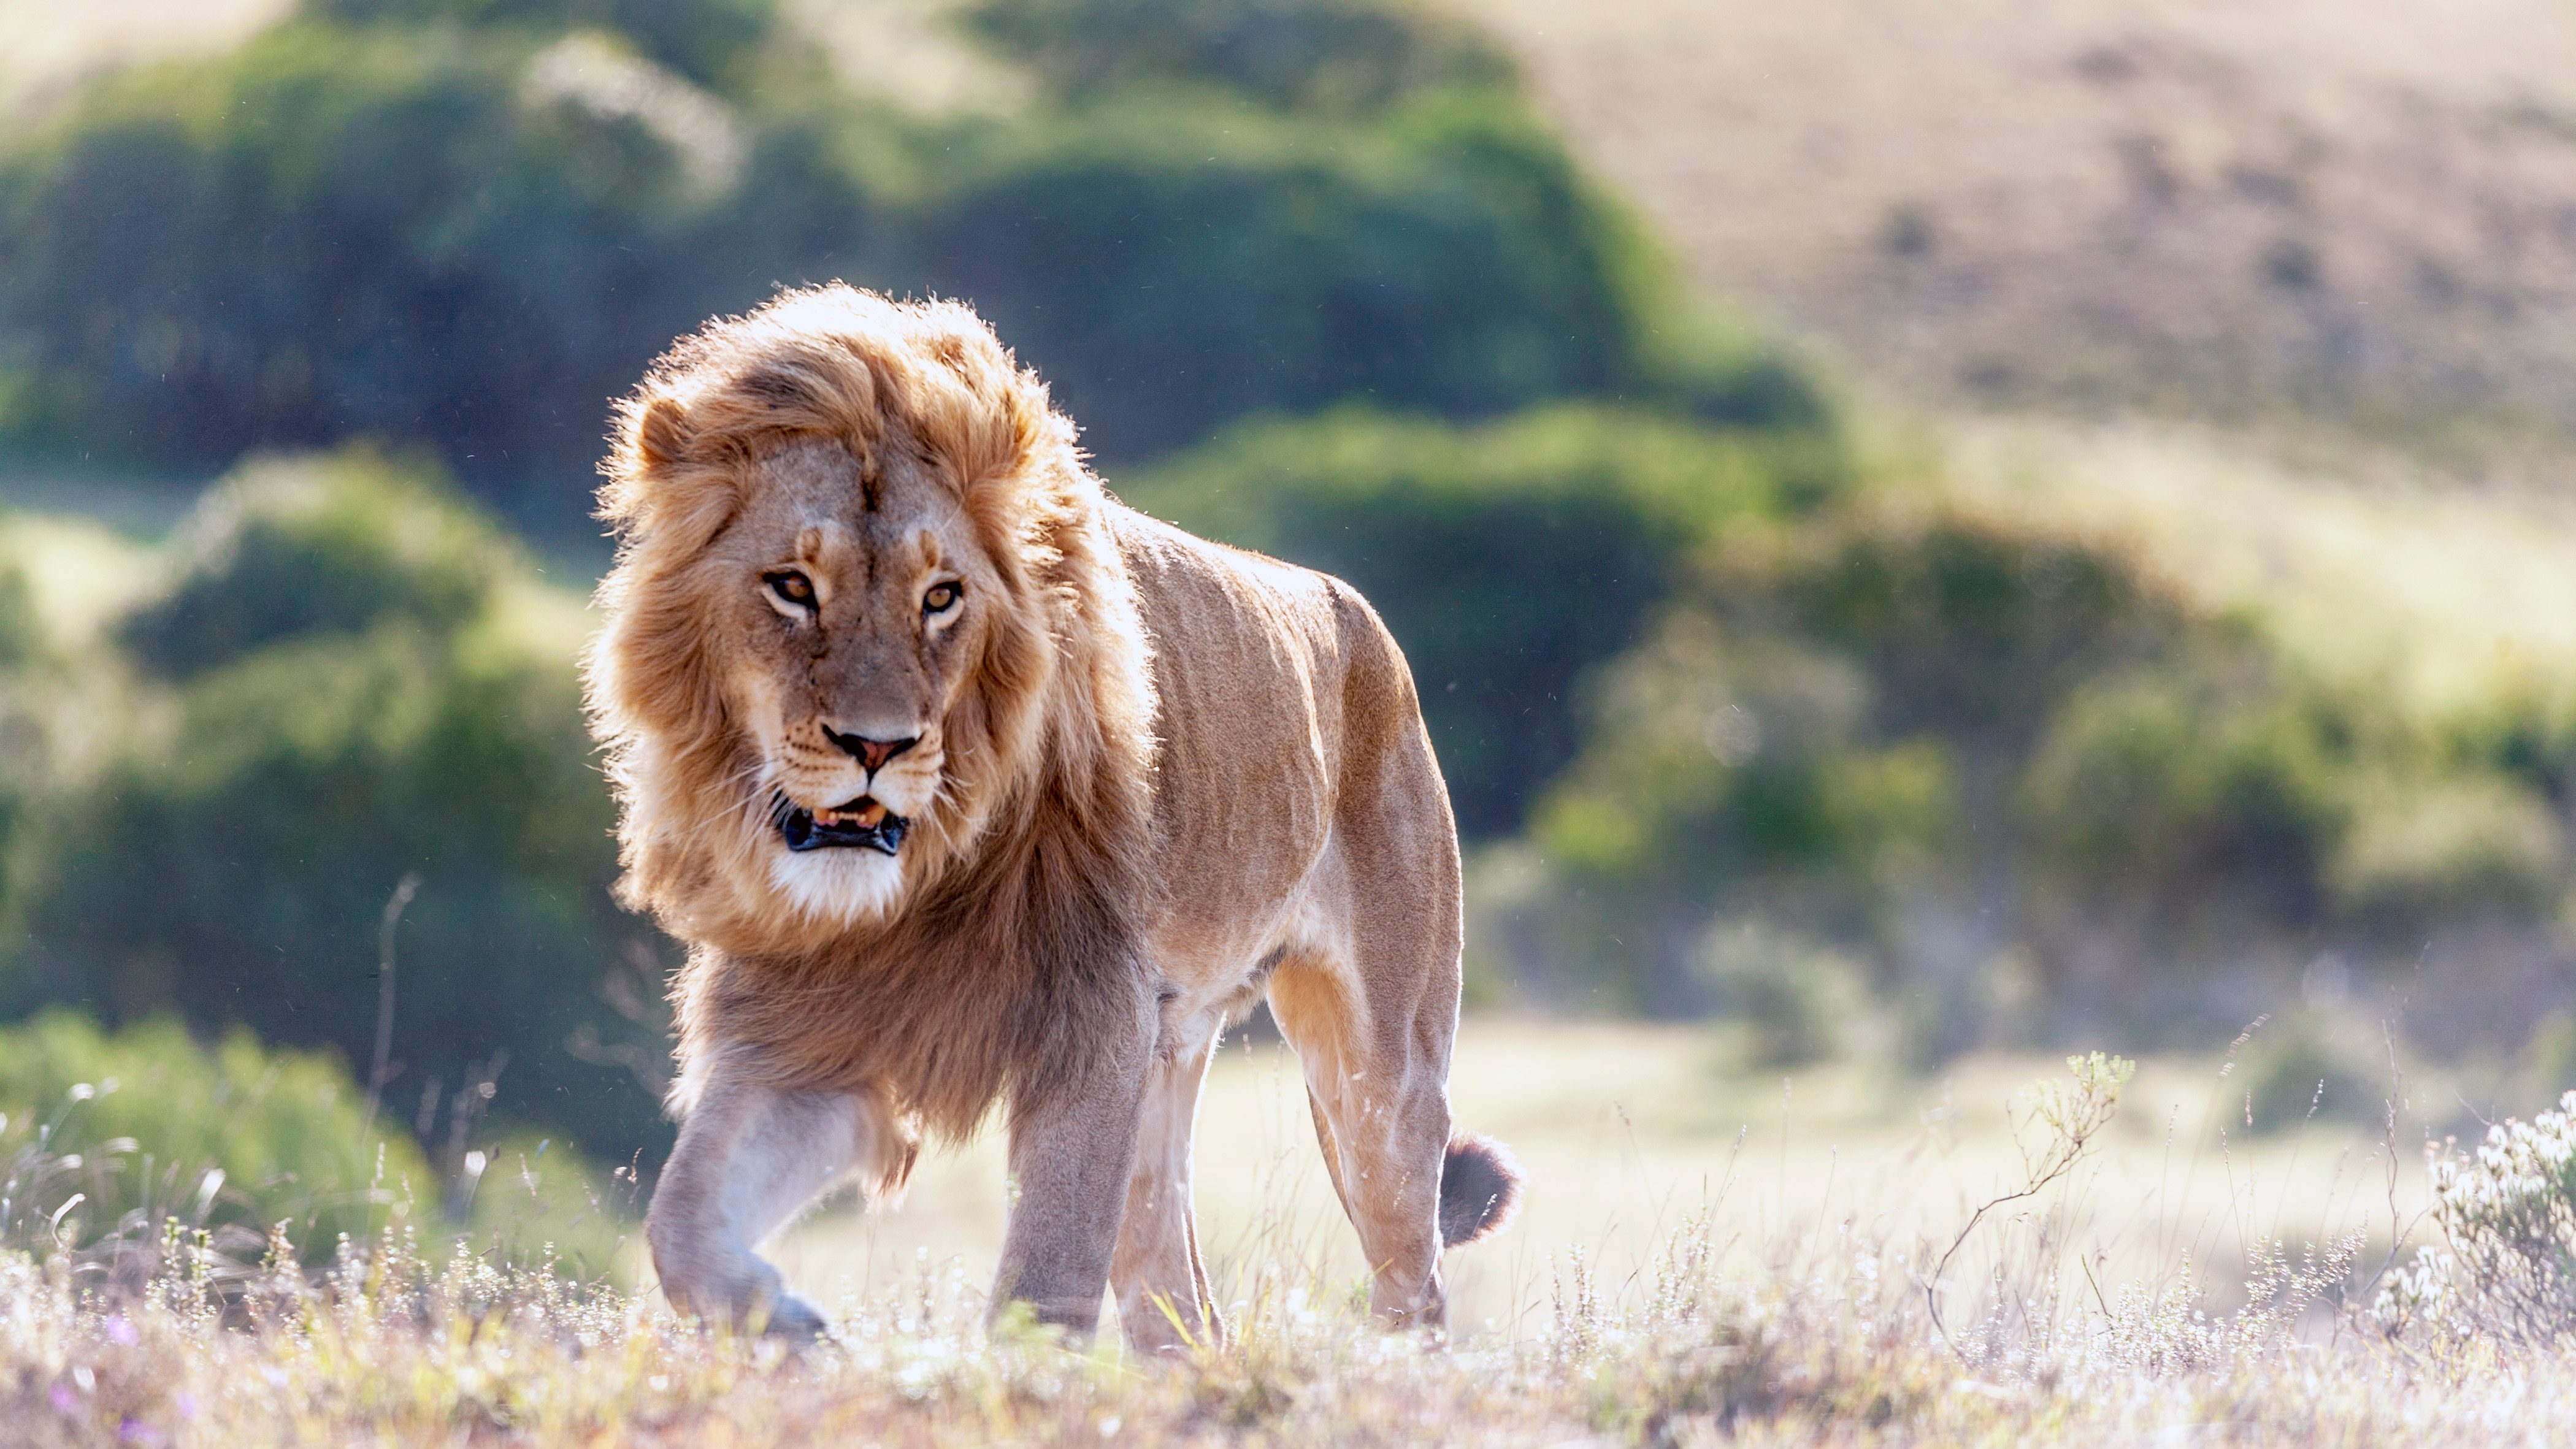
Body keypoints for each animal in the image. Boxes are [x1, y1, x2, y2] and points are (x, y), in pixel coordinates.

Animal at [584, 284, 1521, 1349]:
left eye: (941, 597)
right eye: (792, 586)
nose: (877, 745)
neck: (919, 880)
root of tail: (1361, 614)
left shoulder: (1095, 1014)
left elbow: (1043, 1277)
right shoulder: (813, 1025)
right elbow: (680, 1219)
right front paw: (792, 1326)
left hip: (1381, 1079)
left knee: (1415, 1276)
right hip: (1170, 1063)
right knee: (1179, 1300)